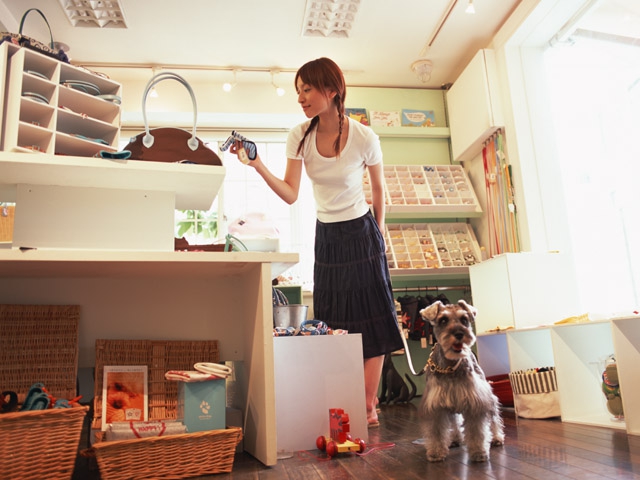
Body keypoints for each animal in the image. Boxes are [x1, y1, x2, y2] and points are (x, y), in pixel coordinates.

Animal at [420, 300, 504, 462]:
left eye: (464, 319)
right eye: (443, 320)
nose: (459, 334)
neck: (450, 367)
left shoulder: (476, 402)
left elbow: (477, 430)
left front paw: (479, 452)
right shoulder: (436, 406)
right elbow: (436, 431)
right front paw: (436, 452)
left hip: (489, 399)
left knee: (494, 419)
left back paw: (497, 438)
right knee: (455, 422)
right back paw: (455, 439)